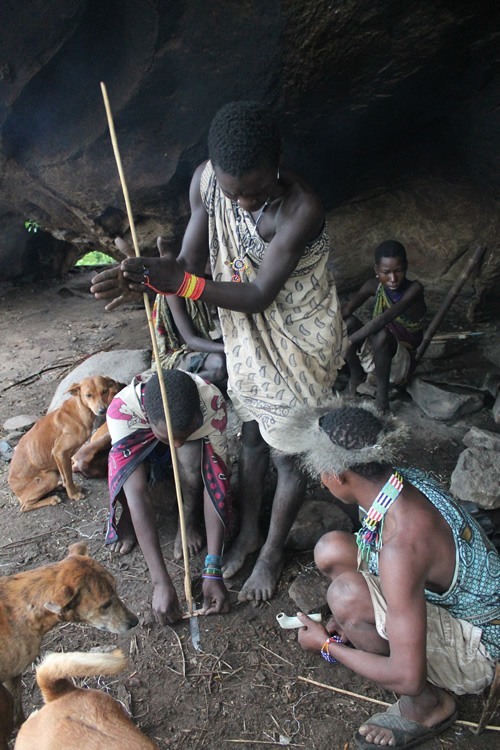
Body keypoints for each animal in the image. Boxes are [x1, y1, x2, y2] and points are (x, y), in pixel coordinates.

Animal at [7, 378, 122, 516]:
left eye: (104, 391)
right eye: (88, 395)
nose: (102, 410)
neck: (79, 411)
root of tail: (15, 491)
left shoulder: (64, 457)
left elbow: (66, 475)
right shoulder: (59, 452)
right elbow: (68, 477)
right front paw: (74, 495)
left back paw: (58, 486)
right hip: (49, 477)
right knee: (25, 506)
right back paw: (52, 499)